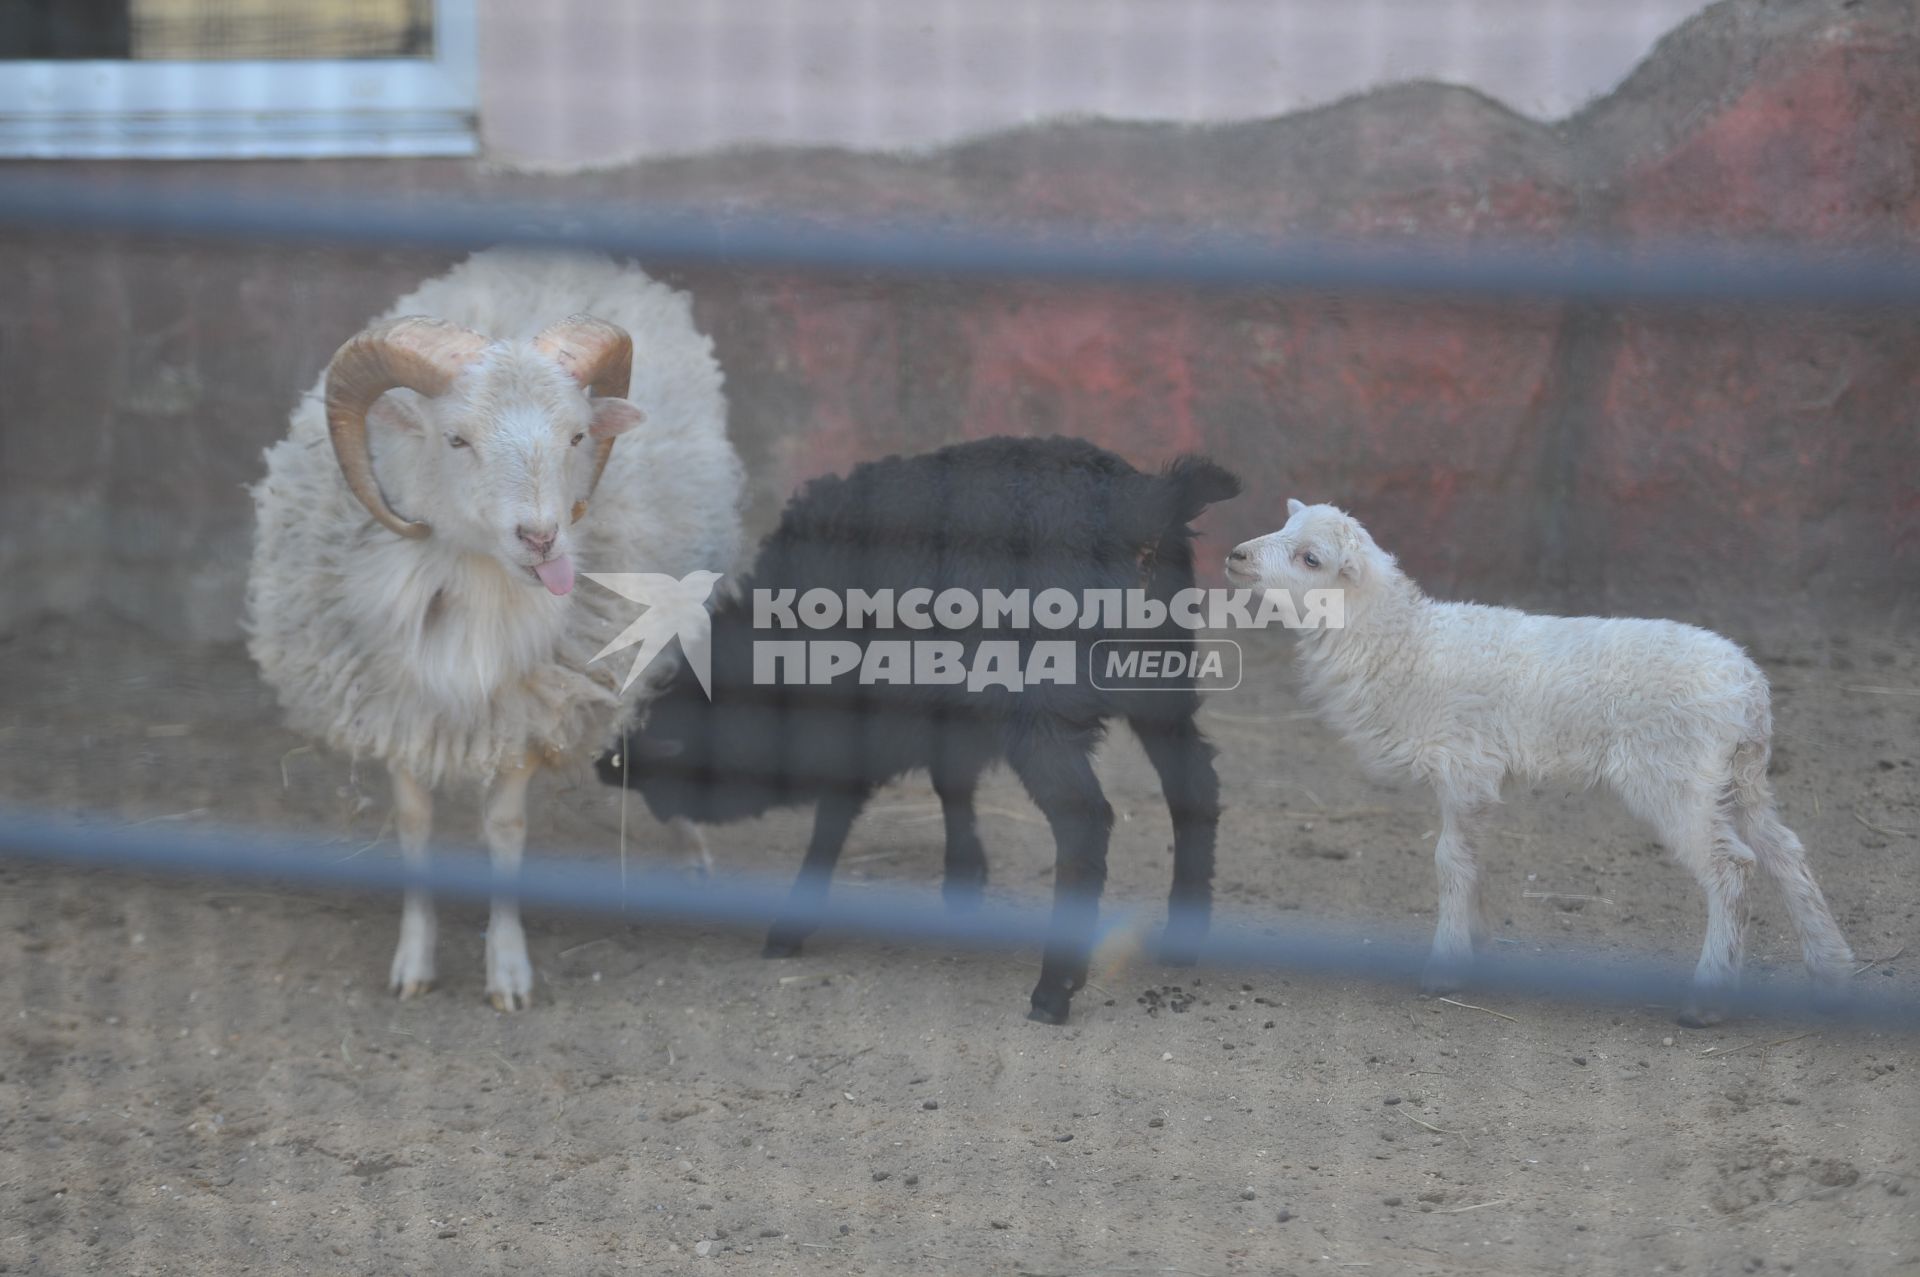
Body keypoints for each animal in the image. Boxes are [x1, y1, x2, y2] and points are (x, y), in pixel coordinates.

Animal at [247, 245, 741, 1006]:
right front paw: (414, 961)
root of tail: (570, 251)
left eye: (576, 435)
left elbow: (505, 828)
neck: (469, 585)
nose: (542, 538)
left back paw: (692, 852)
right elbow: (415, 825)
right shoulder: (394, 706)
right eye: (456, 439)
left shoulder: (530, 706)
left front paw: (507, 968)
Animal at [599, 433, 1244, 1021]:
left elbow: (833, 820)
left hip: (1040, 708)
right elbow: (950, 783)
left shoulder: (862, 714)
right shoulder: (942, 709)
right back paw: (1183, 937)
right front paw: (964, 877)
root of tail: (1142, 504)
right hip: (1159, 683)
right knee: (1194, 785)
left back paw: (1054, 988)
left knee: (1084, 820)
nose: (605, 765)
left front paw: (790, 926)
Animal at [1221, 499, 1850, 1029]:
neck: (1402, 645)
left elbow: (1449, 860)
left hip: (1673, 775)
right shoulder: (1473, 780)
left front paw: (1445, 966)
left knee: (1731, 867)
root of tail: (1749, 686)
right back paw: (1831, 969)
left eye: (1311, 558)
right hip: (1739, 775)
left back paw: (1709, 998)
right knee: (1784, 850)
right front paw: (1476, 948)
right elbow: (1470, 860)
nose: (1237, 555)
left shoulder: (1464, 764)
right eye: (1283, 525)